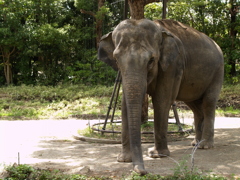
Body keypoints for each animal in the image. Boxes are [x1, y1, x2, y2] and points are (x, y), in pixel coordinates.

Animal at [96, 19, 224, 175]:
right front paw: (124, 159)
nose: (142, 171)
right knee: (195, 105)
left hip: (218, 71)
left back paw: (205, 145)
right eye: (116, 59)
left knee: (208, 102)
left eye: (151, 60)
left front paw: (157, 155)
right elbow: (125, 103)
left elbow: (161, 100)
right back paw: (195, 143)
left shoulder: (173, 64)